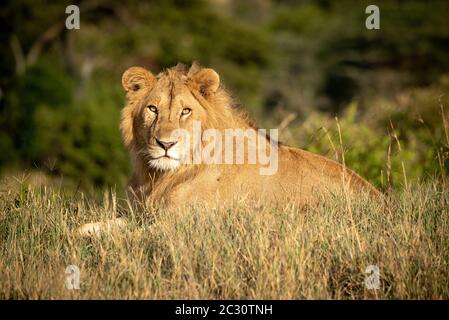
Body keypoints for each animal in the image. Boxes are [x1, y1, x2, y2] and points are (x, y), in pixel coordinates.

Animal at [77, 62, 378, 235]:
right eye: (153, 109)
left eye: (185, 111)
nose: (166, 144)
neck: (162, 175)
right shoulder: (140, 213)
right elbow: (89, 227)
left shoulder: (179, 224)